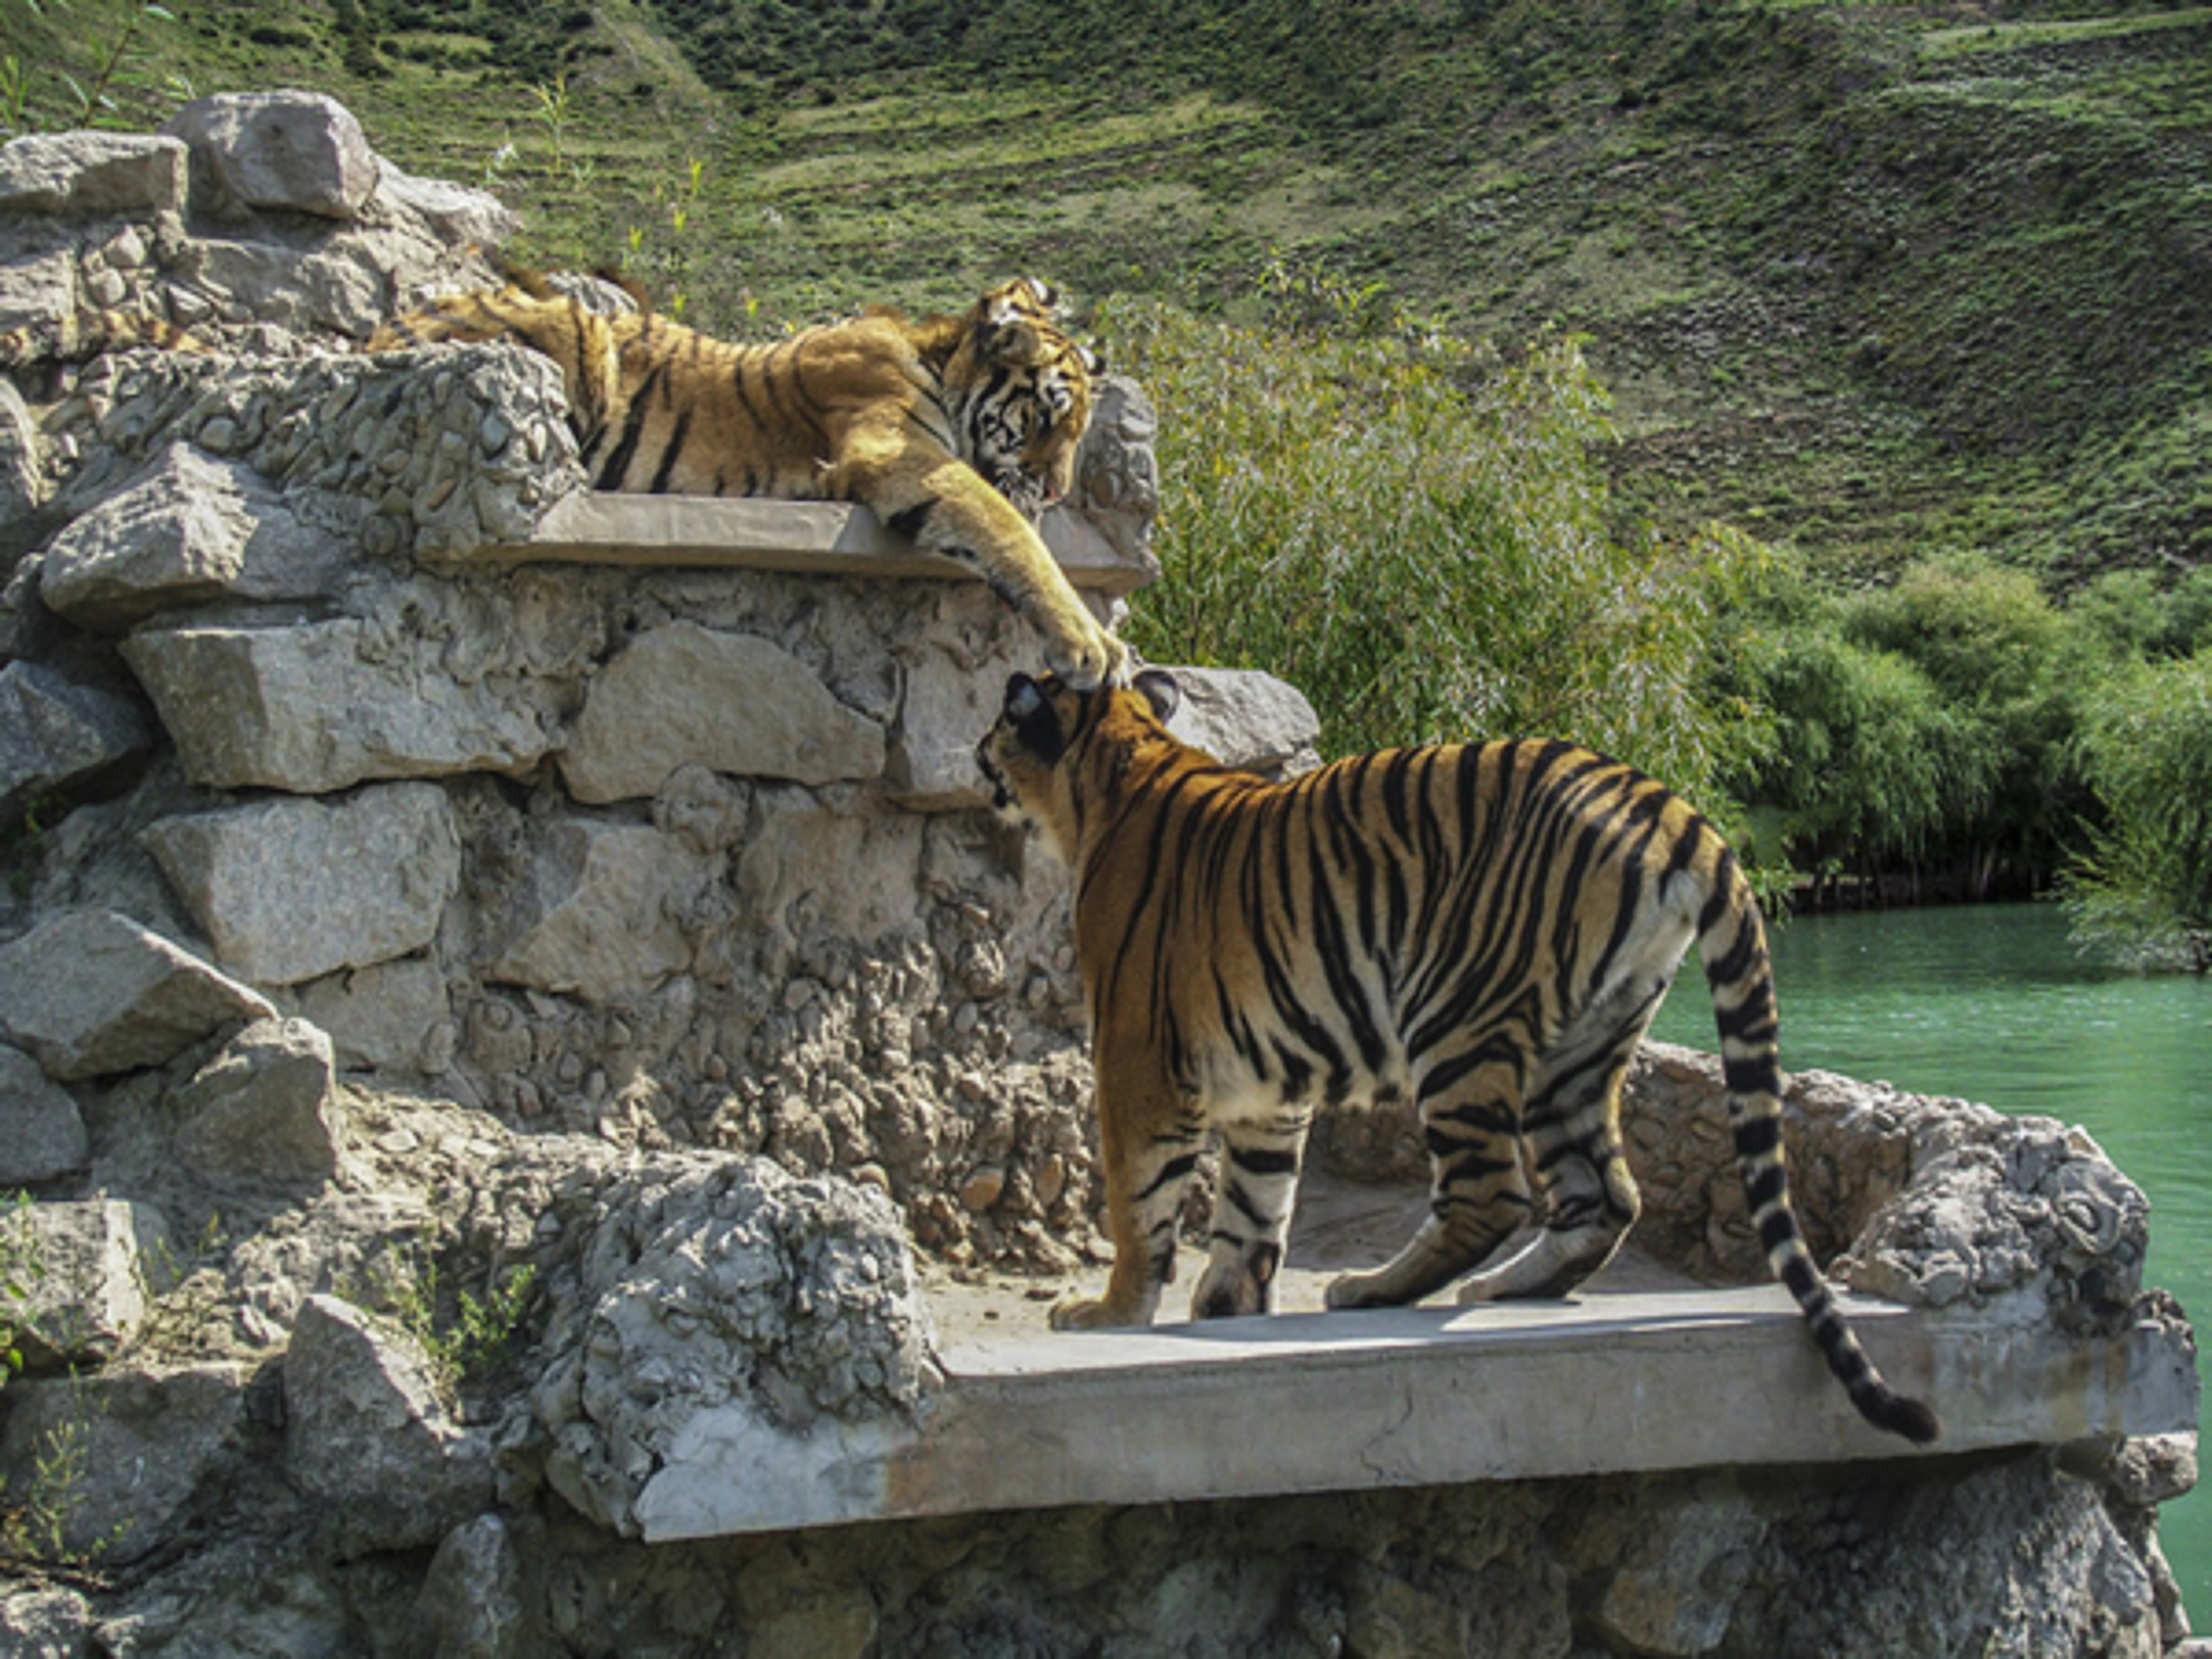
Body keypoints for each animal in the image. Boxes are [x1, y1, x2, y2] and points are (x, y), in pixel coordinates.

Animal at [367, 274, 1129, 689]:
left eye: (1078, 430)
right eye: (1048, 417)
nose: (1058, 491)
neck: (937, 360)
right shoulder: (897, 452)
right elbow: (1008, 530)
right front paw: (1095, 647)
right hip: (577, 325)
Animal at [975, 668, 1941, 1445]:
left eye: (998, 724)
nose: (977, 757)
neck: (1116, 769)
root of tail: (1665, 803)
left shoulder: (1137, 1059)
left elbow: (1141, 1205)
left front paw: (1109, 1313)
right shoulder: (1266, 1091)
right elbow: (1253, 1213)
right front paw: (1225, 1314)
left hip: (1456, 1019)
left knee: (1493, 1195)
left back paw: (1370, 1290)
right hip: (1579, 1047)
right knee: (1604, 1195)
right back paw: (1503, 1292)